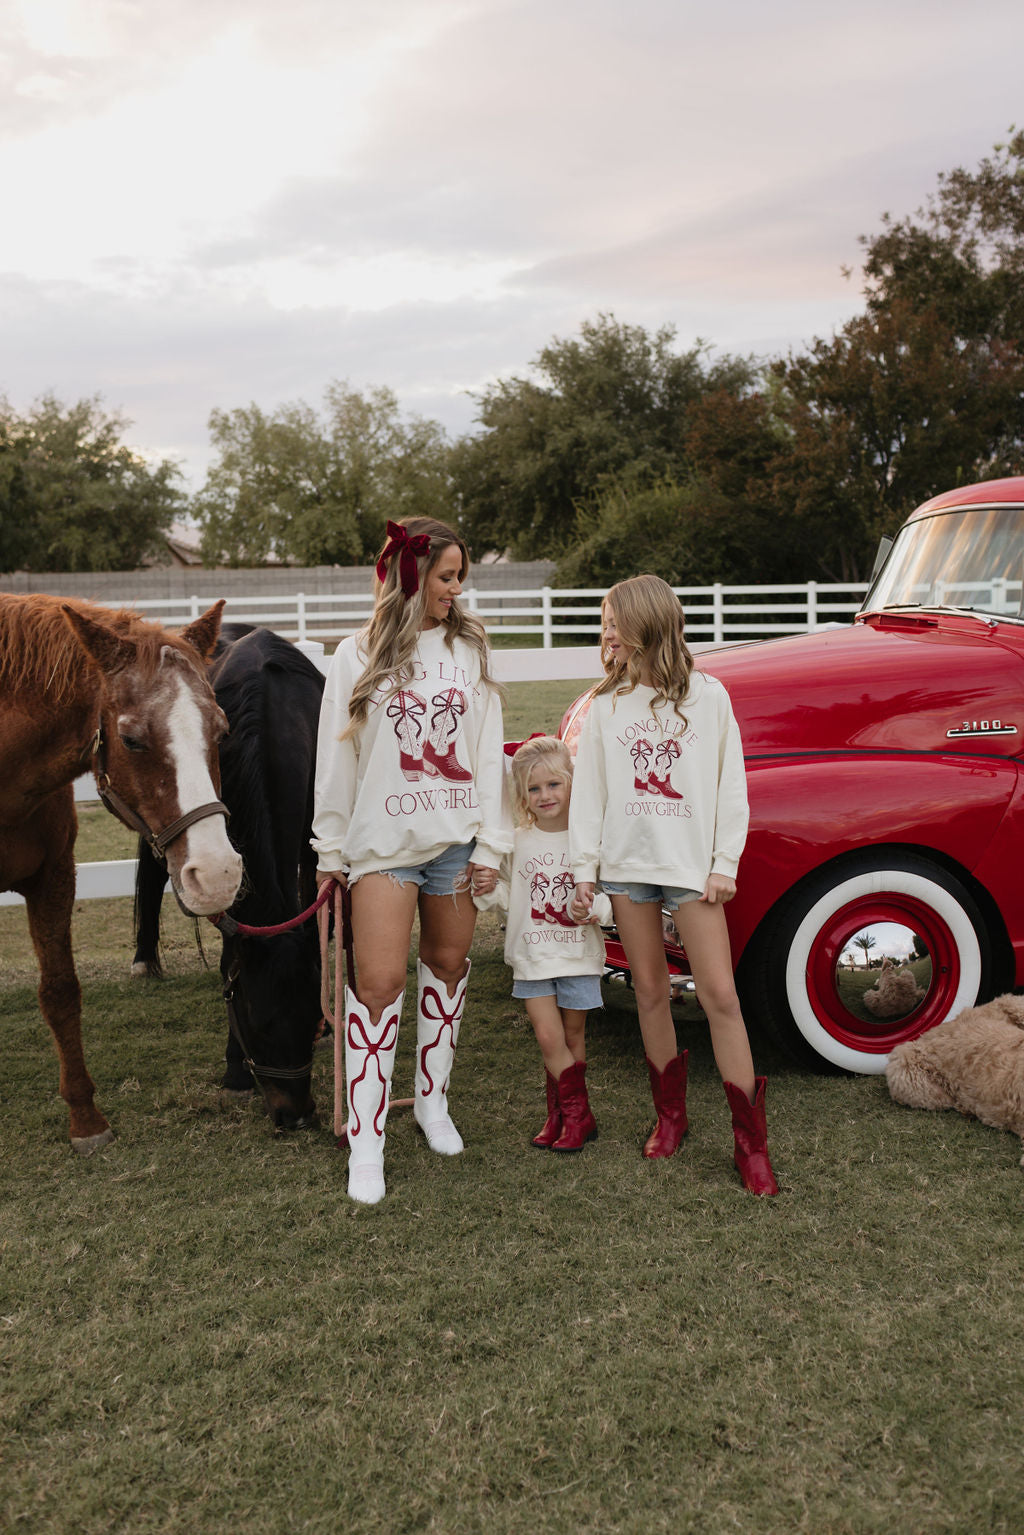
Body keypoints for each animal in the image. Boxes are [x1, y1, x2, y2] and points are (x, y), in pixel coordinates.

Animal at [0, 595, 242, 1154]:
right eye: (131, 740)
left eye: (221, 730)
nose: (218, 874)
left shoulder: (53, 880)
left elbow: (60, 992)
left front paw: (86, 1120)